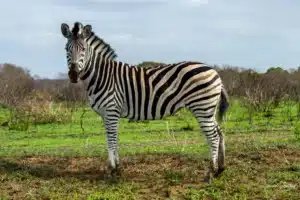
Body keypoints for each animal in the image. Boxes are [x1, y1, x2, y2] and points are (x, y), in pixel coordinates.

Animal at [60, 21, 230, 181]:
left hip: (202, 107)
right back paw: (220, 169)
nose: (73, 75)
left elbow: (111, 139)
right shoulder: (107, 114)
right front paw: (117, 167)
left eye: (83, 49)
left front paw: (112, 170)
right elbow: (113, 138)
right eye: (66, 49)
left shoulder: (111, 111)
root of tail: (214, 71)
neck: (103, 76)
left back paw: (210, 172)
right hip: (208, 109)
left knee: (213, 137)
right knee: (219, 133)